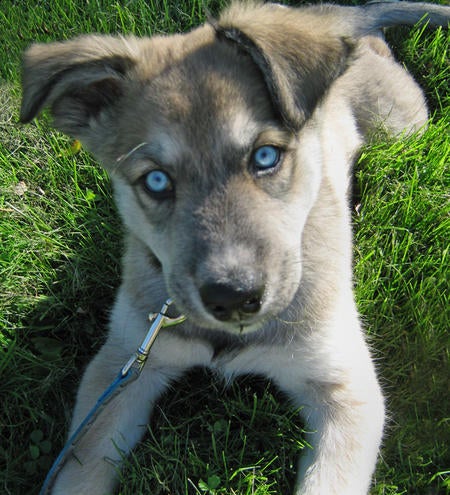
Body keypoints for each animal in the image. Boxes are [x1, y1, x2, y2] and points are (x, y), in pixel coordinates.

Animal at [20, 1, 450, 494]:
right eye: (156, 180)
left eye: (265, 156)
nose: (234, 297)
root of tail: (333, 15)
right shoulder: (123, 364)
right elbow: (82, 468)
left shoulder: (345, 388)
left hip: (402, 123)